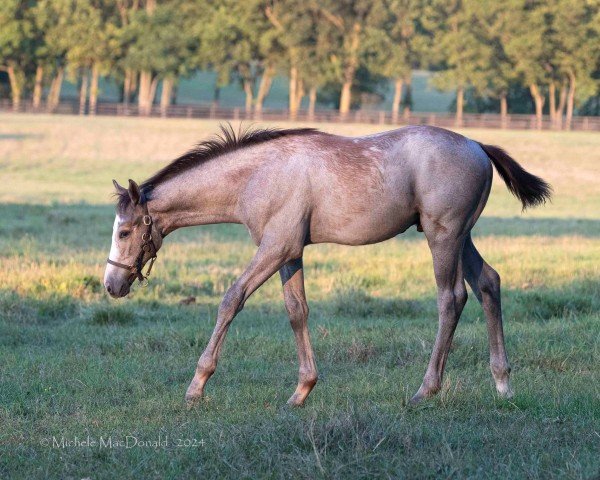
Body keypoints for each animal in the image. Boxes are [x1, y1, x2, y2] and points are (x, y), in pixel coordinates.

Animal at [102, 124, 548, 404]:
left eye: (123, 232)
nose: (111, 285)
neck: (257, 175)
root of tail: (476, 144)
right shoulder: (289, 252)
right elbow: (296, 310)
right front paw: (302, 390)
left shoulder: (275, 247)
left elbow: (231, 299)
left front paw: (197, 386)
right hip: (461, 238)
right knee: (488, 283)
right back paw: (503, 384)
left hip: (443, 237)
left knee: (451, 298)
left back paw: (426, 390)